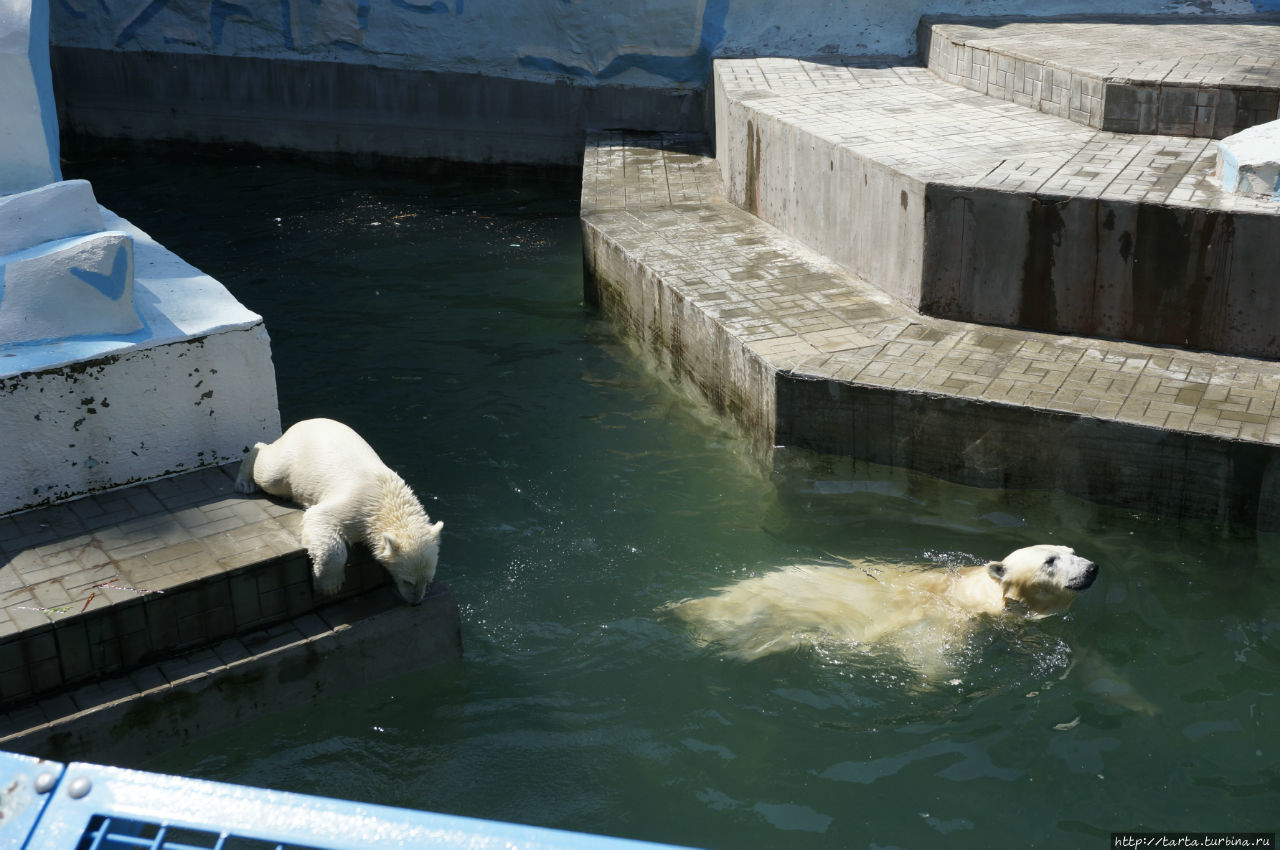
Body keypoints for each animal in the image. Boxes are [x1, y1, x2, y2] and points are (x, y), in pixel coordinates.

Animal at [235, 417, 445, 604]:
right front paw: (329, 584)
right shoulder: (358, 504)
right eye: (408, 581)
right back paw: (246, 481)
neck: (388, 498)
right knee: (270, 472)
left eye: (428, 580)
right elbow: (320, 518)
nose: (416, 602)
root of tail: (302, 423)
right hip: (292, 460)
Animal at [665, 545, 1095, 675]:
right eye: (1050, 561)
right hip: (757, 611)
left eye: (1071, 551)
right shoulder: (941, 624)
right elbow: (930, 658)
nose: (1092, 569)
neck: (966, 594)